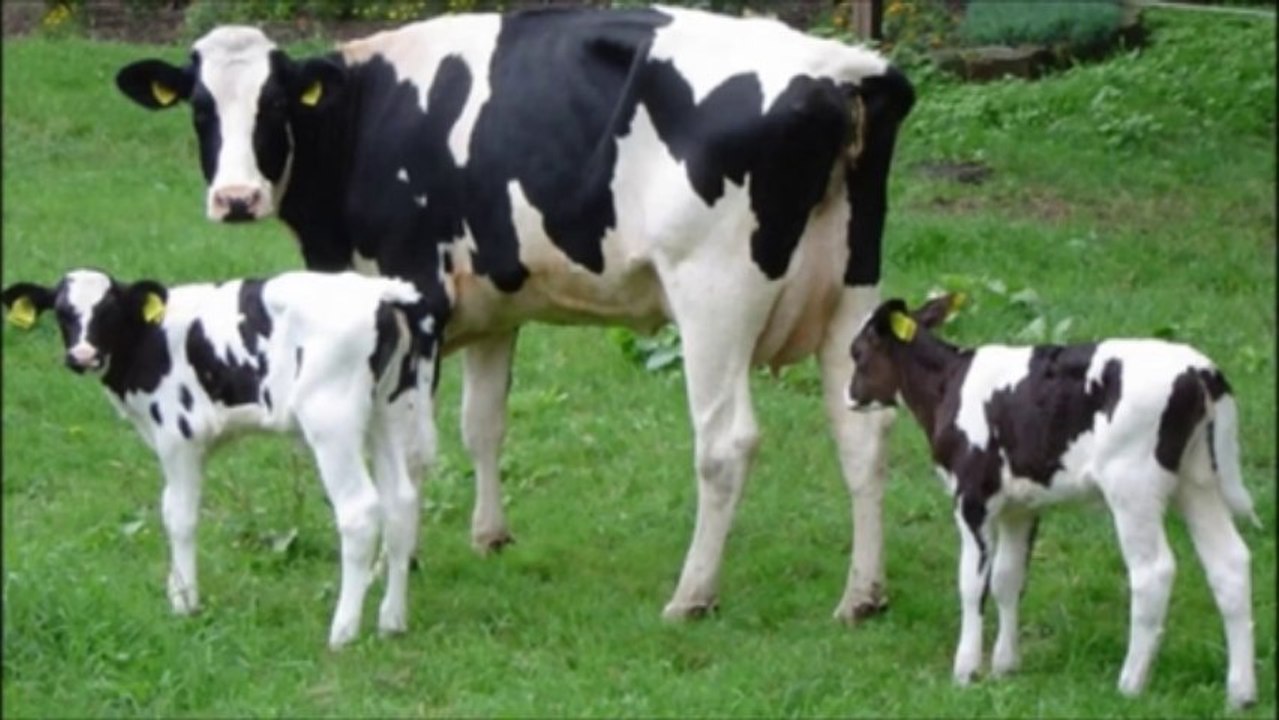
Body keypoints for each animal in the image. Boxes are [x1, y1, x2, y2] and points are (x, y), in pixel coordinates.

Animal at [2, 268, 435, 648]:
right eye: (62, 311)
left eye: (109, 309)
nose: (82, 354)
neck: (148, 338)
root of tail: (379, 293)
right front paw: (176, 591)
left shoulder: (179, 437)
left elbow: (179, 516)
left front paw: (184, 602)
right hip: (390, 411)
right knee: (401, 503)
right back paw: (392, 621)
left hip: (332, 420)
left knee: (359, 511)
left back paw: (343, 632)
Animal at [114, 5, 916, 621]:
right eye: (201, 108)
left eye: (276, 105)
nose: (236, 198)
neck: (367, 115)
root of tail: (844, 70)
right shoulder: (495, 309)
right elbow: (483, 426)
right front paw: (488, 536)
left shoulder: (420, 296)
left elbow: (415, 449)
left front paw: (404, 558)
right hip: (853, 289)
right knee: (864, 433)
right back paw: (862, 595)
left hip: (714, 289)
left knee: (725, 444)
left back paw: (691, 595)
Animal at [846, 294, 1258, 709]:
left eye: (858, 351)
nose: (849, 396)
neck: (948, 384)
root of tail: (1201, 369)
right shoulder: (1020, 506)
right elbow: (1008, 578)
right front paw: (1005, 665)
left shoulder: (973, 498)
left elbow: (972, 584)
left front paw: (966, 670)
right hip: (1197, 481)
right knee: (1229, 563)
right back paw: (1241, 694)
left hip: (1132, 486)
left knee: (1153, 571)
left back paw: (1129, 684)